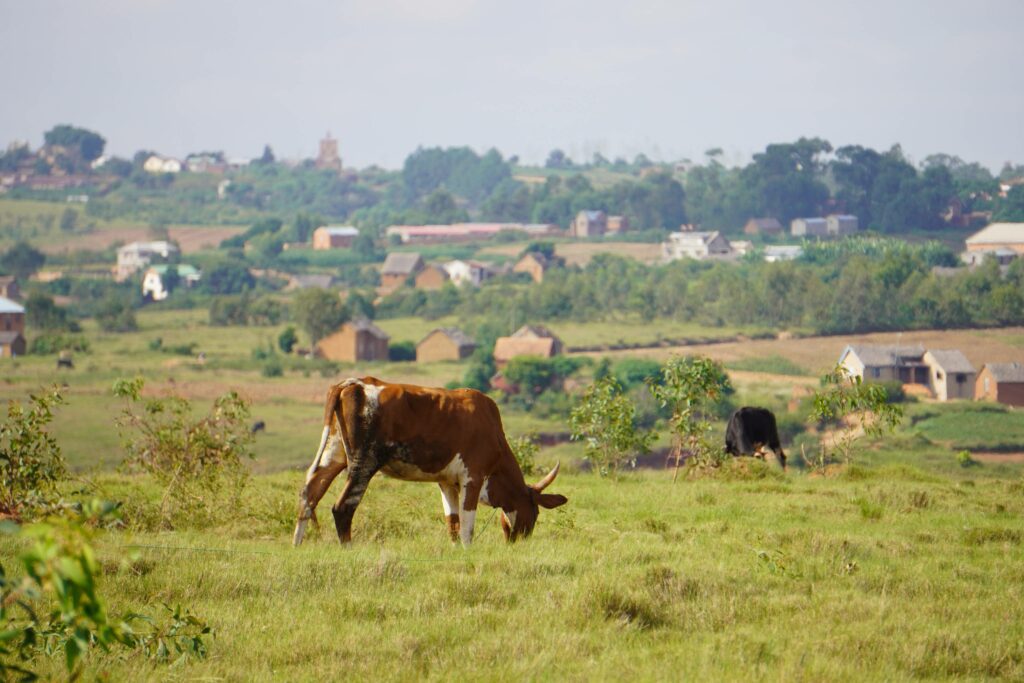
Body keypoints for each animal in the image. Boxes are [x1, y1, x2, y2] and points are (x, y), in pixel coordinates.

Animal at [294, 376, 569, 548]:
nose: (521, 540)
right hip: (364, 463)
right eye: (535, 512)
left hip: (334, 455)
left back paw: (297, 545)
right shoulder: (473, 477)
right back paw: (349, 549)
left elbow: (452, 522)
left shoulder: (446, 482)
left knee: (309, 495)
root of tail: (352, 383)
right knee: (342, 507)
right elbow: (467, 526)